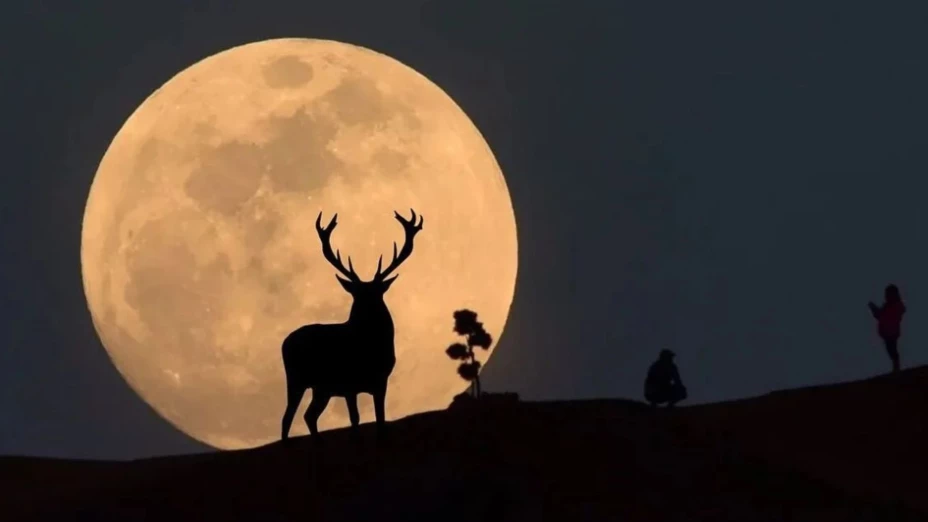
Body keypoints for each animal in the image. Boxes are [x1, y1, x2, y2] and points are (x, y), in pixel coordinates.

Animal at [280, 209, 424, 442]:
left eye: (375, 294)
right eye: (357, 296)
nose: (365, 314)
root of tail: (284, 342)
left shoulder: (381, 381)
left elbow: (380, 418)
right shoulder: (348, 384)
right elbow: (355, 420)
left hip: (322, 388)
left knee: (309, 415)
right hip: (296, 380)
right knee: (287, 418)